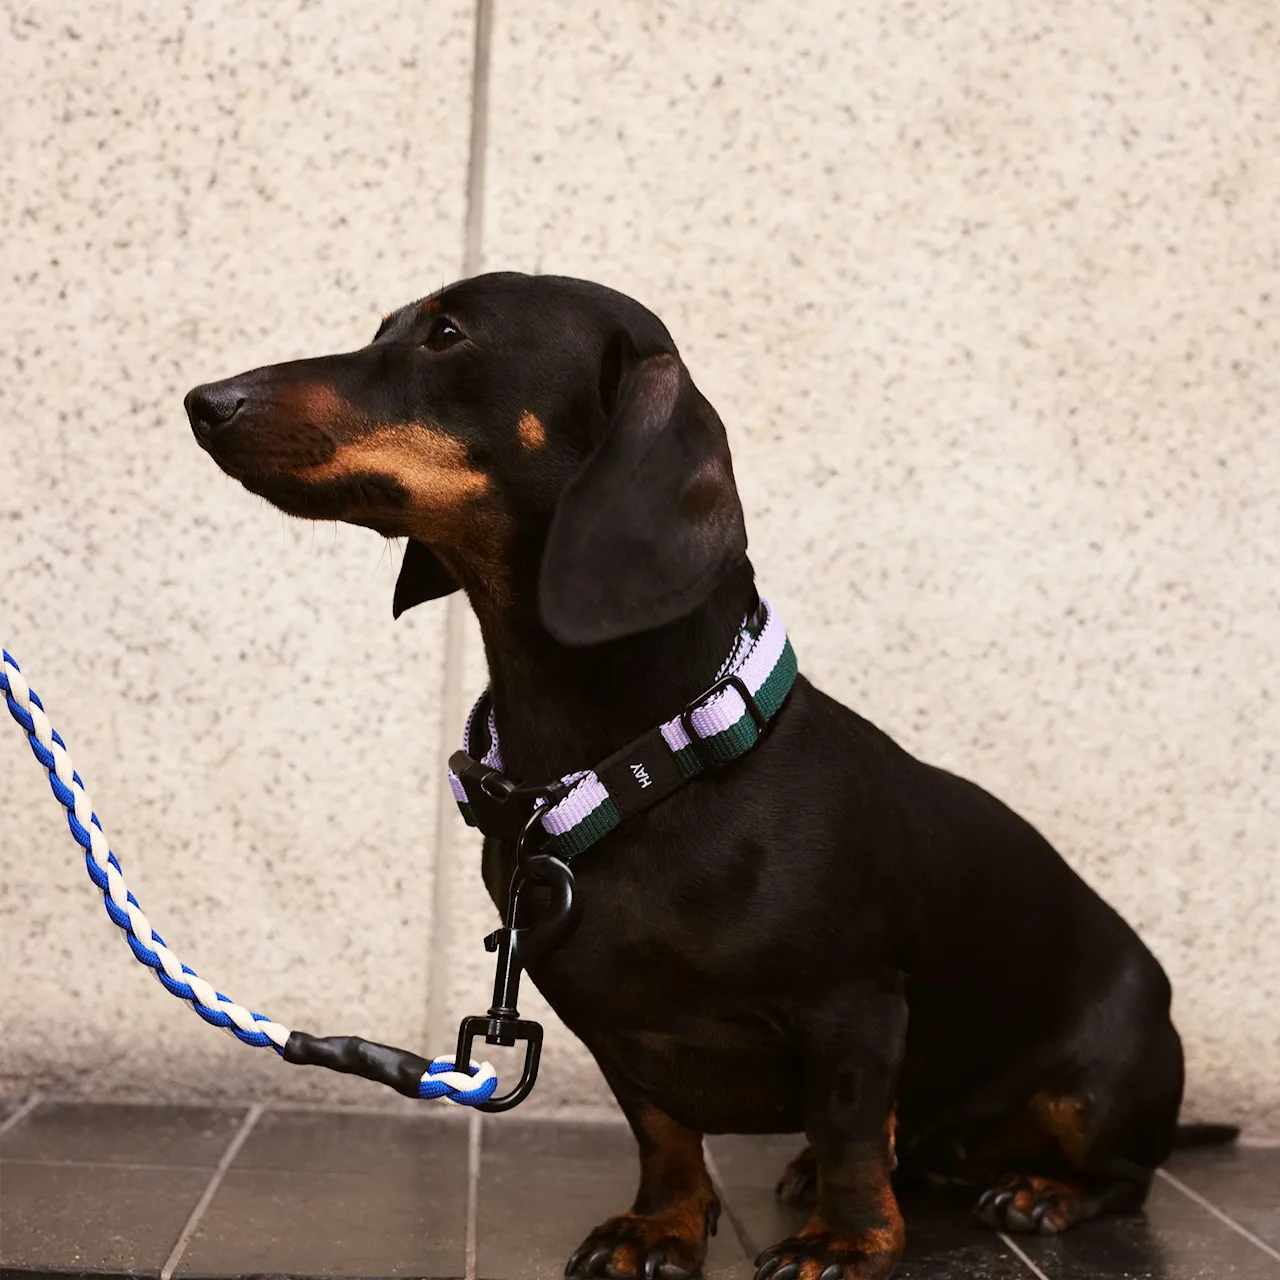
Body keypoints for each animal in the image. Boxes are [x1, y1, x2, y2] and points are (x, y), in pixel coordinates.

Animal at [186, 272, 1228, 1280]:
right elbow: (664, 1133)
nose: (204, 400)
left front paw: (847, 1242)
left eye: (448, 335)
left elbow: (851, 1131)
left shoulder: (853, 1009)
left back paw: (1039, 1192)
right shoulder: (610, 1026)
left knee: (1123, 1174)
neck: (651, 762)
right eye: (383, 328)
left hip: (1097, 1092)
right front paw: (663, 1226)